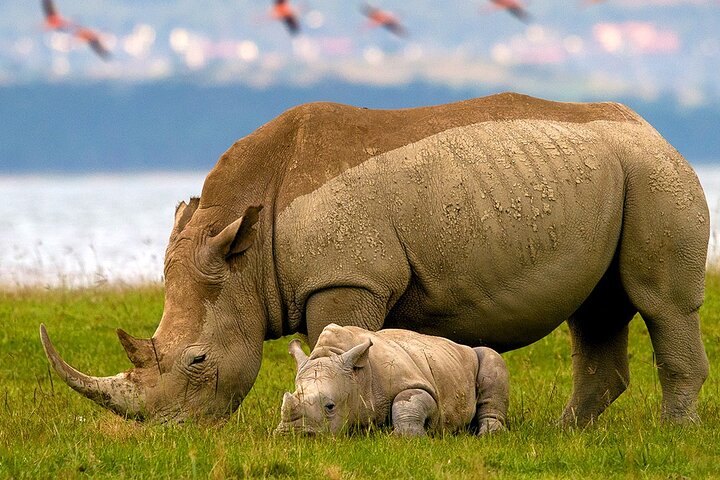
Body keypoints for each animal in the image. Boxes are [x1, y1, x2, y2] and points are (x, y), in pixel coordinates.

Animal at [276, 324, 509, 436]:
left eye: (330, 407)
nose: (291, 435)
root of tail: (459, 345)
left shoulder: (418, 384)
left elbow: (407, 400)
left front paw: (405, 438)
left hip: (471, 357)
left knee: (490, 357)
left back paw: (489, 435)